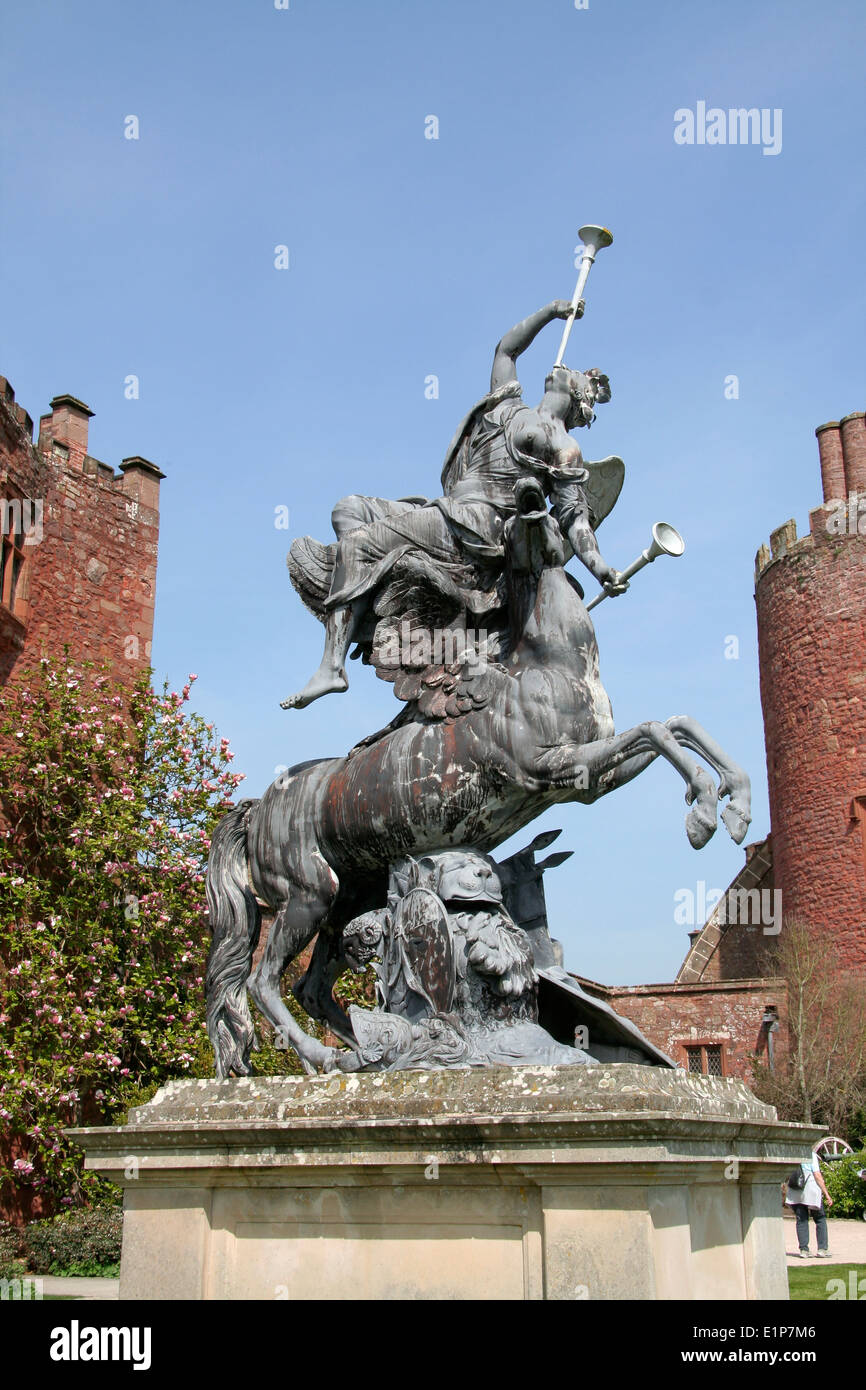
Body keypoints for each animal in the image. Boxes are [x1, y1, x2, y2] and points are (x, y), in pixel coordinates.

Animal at [204, 483, 750, 1078]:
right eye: (518, 521)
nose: (535, 506)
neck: (549, 666)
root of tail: (257, 808)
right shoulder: (552, 767)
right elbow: (658, 730)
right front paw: (703, 816)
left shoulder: (590, 781)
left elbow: (676, 726)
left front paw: (736, 805)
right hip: (307, 894)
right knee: (263, 982)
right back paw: (335, 1055)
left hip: (345, 899)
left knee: (312, 989)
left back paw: (371, 1053)